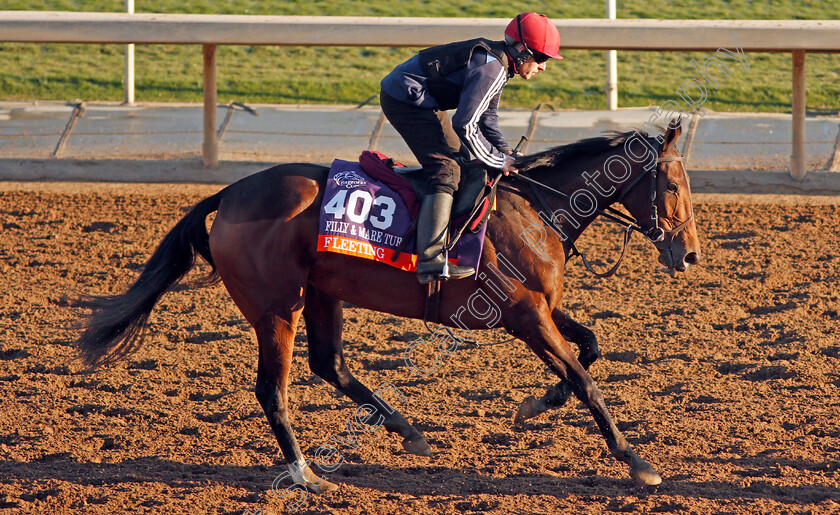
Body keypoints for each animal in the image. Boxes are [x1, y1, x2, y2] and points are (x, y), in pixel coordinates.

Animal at [77, 121, 696, 496]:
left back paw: (405, 429)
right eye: (671, 184)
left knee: (330, 364)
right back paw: (306, 475)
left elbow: (590, 346)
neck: (535, 209)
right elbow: (585, 378)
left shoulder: (537, 307)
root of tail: (228, 195)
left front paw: (535, 405)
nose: (688, 252)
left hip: (321, 293)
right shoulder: (523, 314)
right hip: (276, 308)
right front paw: (636, 461)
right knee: (273, 388)